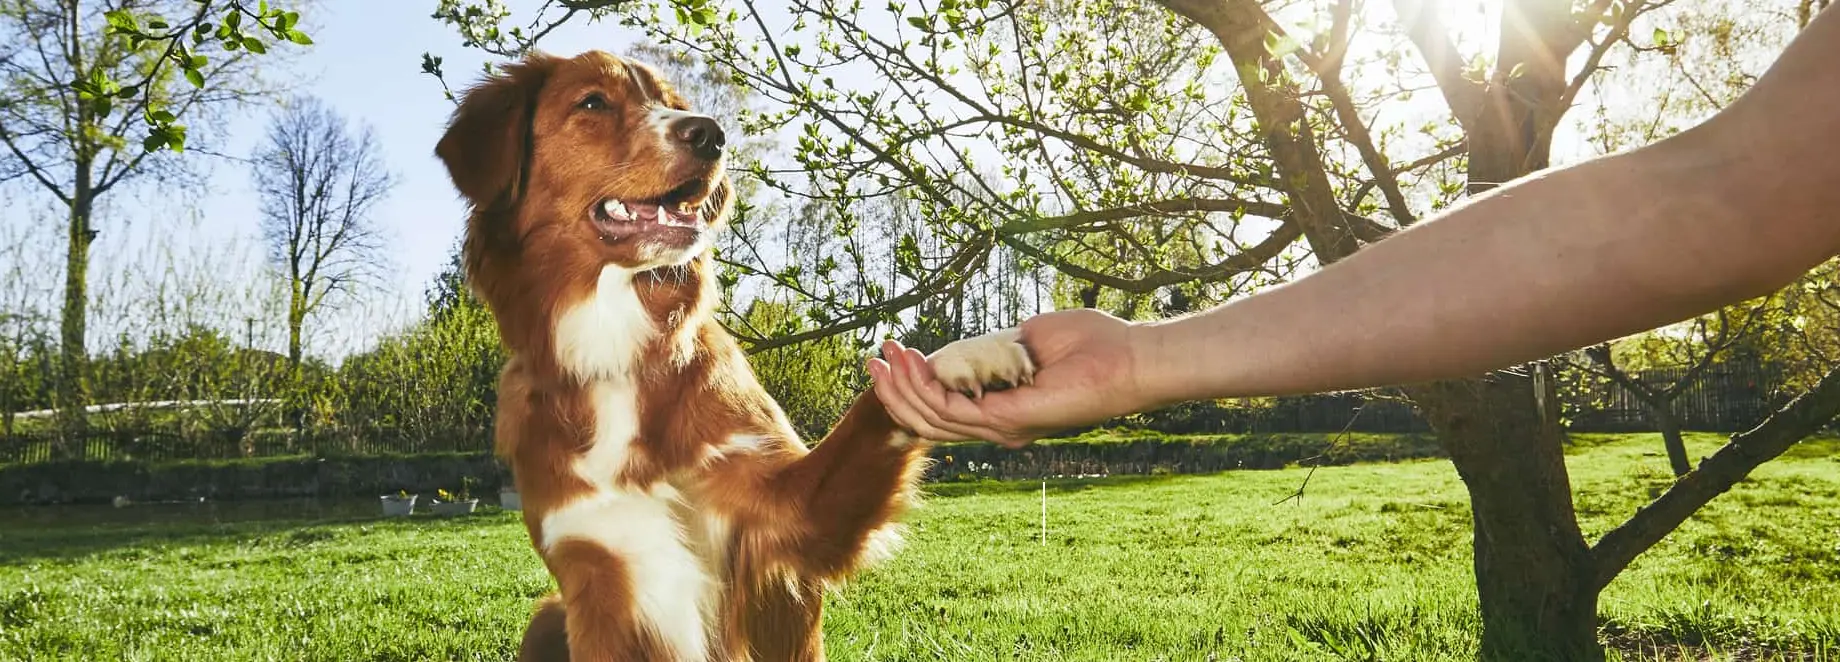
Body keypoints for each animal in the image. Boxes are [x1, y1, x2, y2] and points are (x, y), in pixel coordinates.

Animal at [434, 50, 1035, 662]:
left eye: (670, 104)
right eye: (593, 102)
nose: (710, 134)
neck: (616, 355)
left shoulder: (785, 513)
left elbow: (874, 405)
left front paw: (966, 357)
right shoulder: (593, 576)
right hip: (548, 614)